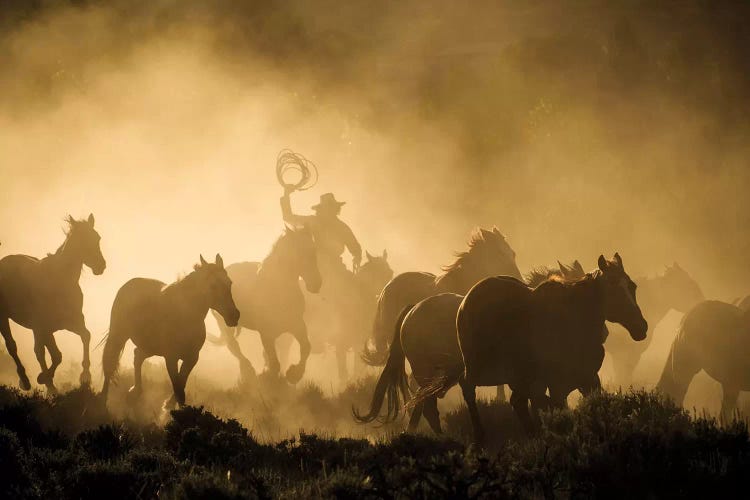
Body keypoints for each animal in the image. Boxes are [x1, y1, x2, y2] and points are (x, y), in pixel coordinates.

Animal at [0, 213, 106, 392]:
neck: (60, 281)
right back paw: (26, 381)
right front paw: (42, 378)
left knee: (38, 351)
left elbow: (86, 336)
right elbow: (56, 355)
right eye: (81, 240)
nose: (101, 266)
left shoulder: (72, 322)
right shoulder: (44, 327)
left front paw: (85, 376)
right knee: (13, 346)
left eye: (97, 238)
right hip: (5, 318)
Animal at [100, 256, 239, 408]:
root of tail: (128, 285)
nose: (234, 316)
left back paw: (135, 392)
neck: (185, 316)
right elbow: (178, 387)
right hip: (118, 335)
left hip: (150, 346)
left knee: (137, 356)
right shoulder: (171, 357)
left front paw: (169, 405)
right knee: (110, 362)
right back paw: (104, 397)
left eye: (230, 283)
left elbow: (181, 384)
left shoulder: (192, 357)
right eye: (213, 285)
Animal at [210, 225, 322, 384]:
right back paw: (248, 372)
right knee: (233, 346)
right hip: (225, 324)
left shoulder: (297, 325)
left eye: (314, 250)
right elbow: (274, 363)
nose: (316, 284)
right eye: (300, 252)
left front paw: (294, 374)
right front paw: (269, 378)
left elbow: (306, 347)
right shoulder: (266, 333)